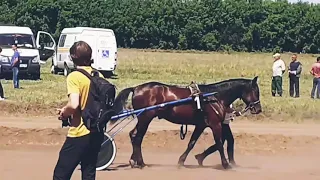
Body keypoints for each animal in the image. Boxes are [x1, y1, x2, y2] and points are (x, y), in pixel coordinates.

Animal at [111, 77, 262, 169]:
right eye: (256, 91)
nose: (258, 109)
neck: (214, 97)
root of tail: (136, 88)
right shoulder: (215, 124)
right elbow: (219, 143)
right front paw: (226, 164)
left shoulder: (201, 125)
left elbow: (191, 143)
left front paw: (182, 161)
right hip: (145, 118)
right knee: (138, 138)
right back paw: (141, 163)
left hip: (143, 118)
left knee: (133, 135)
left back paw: (134, 161)